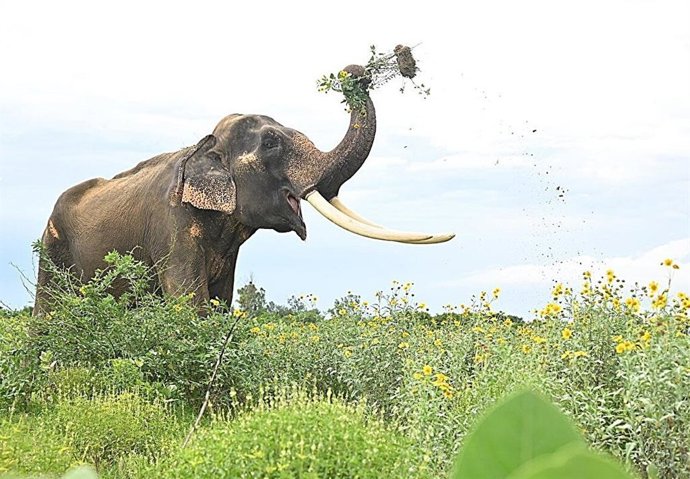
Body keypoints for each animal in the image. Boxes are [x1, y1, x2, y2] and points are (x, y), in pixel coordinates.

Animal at [33, 64, 453, 314]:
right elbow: (192, 302)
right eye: (270, 143)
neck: (203, 143)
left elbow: (221, 300)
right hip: (52, 247)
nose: (353, 71)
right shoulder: (172, 224)